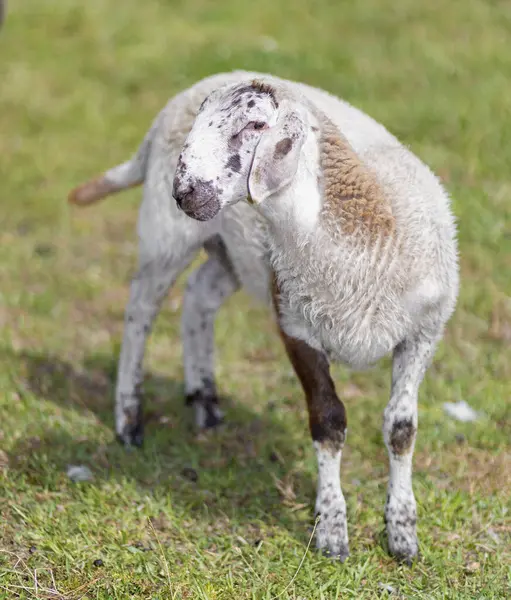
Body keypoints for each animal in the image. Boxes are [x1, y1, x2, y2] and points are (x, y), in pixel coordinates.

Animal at [67, 70, 460, 564]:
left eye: (255, 125)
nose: (185, 193)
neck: (365, 231)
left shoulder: (423, 332)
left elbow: (401, 430)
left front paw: (403, 535)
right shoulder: (295, 326)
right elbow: (328, 421)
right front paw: (332, 532)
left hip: (233, 255)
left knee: (199, 297)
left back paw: (205, 402)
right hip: (166, 235)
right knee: (140, 310)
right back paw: (129, 421)